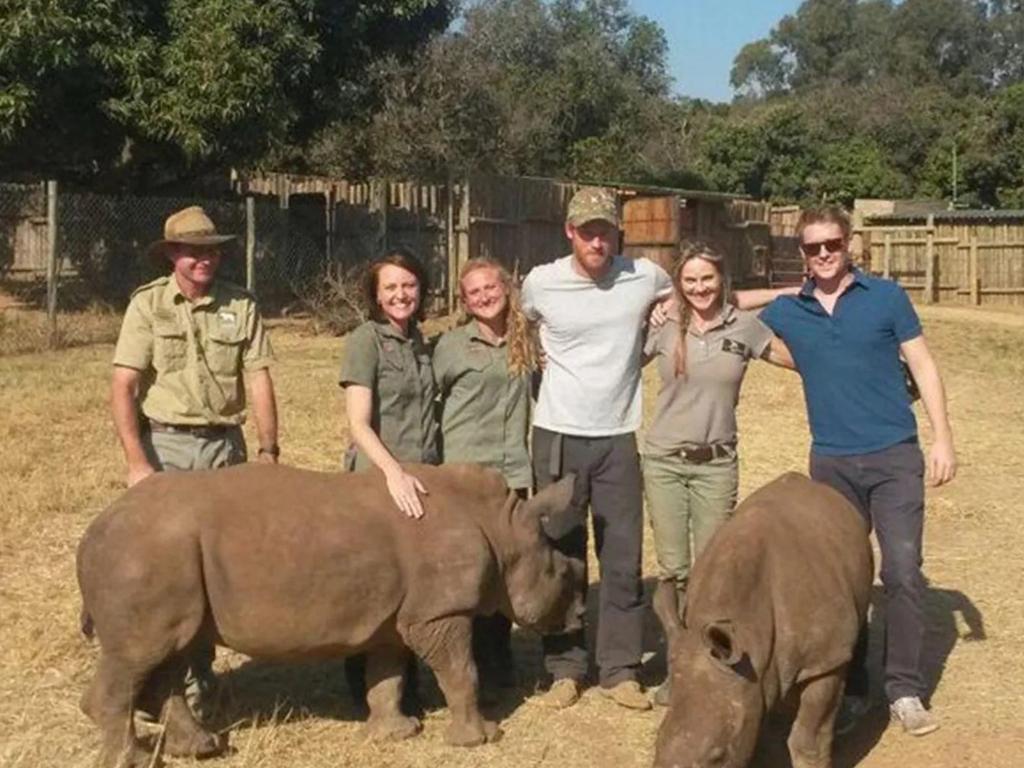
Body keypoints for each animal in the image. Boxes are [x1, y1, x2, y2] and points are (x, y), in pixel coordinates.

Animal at [77, 462, 585, 768]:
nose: (579, 616)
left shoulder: (397, 617)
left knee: (173, 649)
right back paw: (134, 761)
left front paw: (395, 735)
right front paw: (482, 739)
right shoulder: (439, 611)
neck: (505, 530)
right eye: (563, 573)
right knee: (141, 654)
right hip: (142, 555)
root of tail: (91, 532)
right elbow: (462, 671)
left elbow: (387, 675)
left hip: (162, 560)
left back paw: (202, 748)